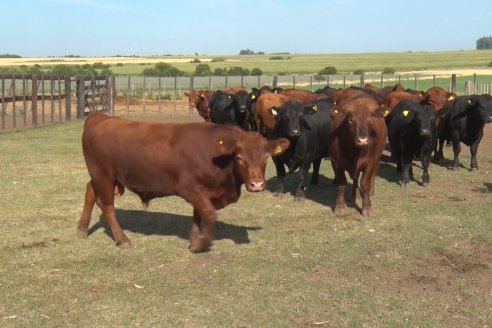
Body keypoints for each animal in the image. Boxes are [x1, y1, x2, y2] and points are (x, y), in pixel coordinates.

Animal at [79, 113, 290, 254]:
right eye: (239, 157)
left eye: (266, 157)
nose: (257, 185)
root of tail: (99, 117)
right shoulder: (190, 188)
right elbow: (209, 214)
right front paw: (200, 244)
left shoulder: (204, 191)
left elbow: (198, 214)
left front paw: (194, 237)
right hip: (103, 175)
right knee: (107, 206)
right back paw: (122, 239)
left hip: (105, 178)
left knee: (90, 191)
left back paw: (82, 229)